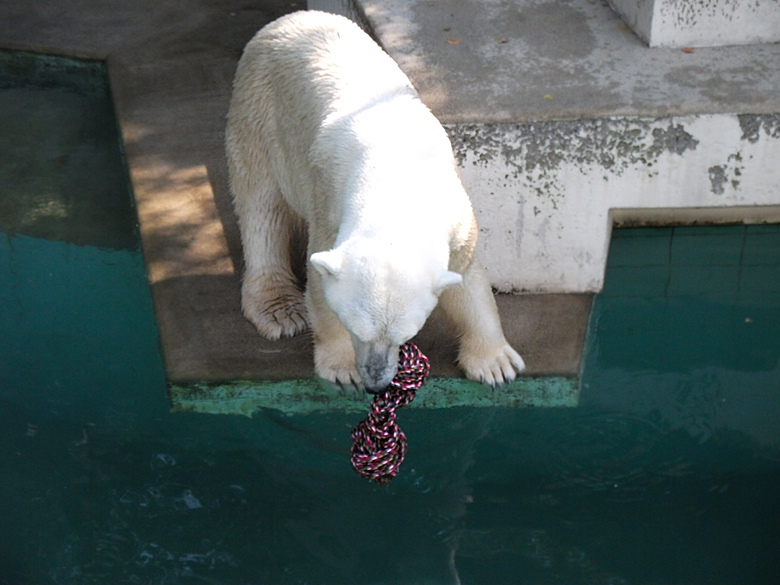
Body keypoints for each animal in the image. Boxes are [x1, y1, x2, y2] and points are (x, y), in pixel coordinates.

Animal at [227, 10, 532, 392]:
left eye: (405, 335)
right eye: (355, 328)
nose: (376, 382)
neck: (395, 180)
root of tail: (292, 16)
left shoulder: (457, 216)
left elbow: (466, 278)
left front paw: (496, 363)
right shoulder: (327, 205)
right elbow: (319, 281)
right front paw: (343, 368)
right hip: (259, 110)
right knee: (261, 205)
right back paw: (280, 310)